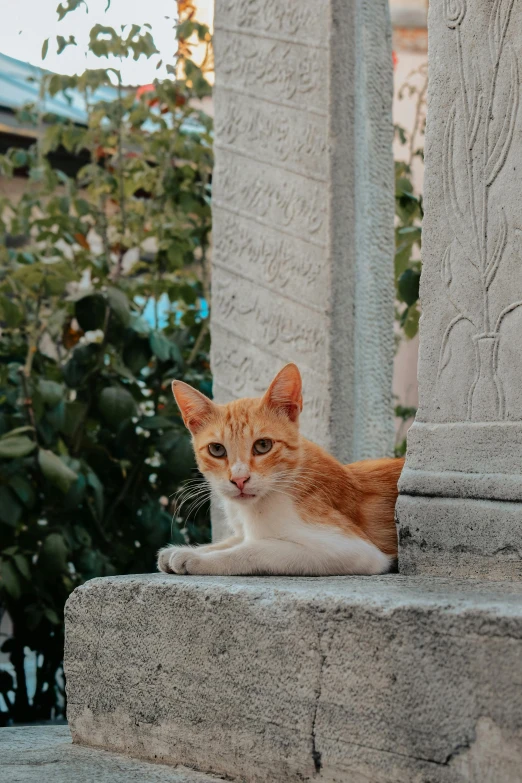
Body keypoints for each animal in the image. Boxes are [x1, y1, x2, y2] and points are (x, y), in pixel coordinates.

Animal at [157, 366, 402, 576]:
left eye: (263, 445)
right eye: (216, 449)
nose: (239, 479)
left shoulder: (357, 551)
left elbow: (255, 548)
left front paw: (199, 558)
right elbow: (233, 540)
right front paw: (188, 550)